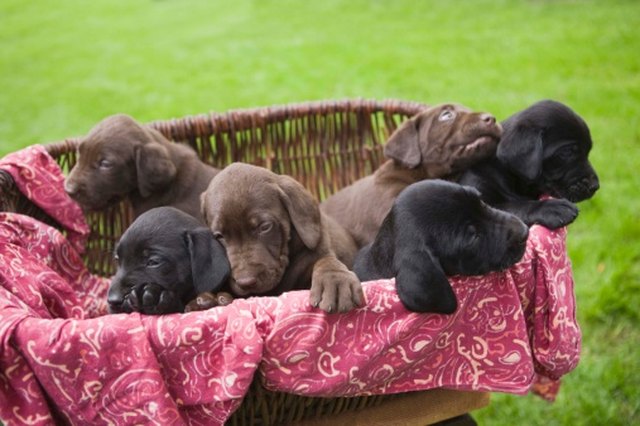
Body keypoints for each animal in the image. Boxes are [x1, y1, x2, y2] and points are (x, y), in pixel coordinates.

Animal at [204, 163, 364, 312]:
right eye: (219, 236)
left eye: (265, 227)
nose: (246, 282)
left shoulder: (317, 248)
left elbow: (325, 261)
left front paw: (335, 279)